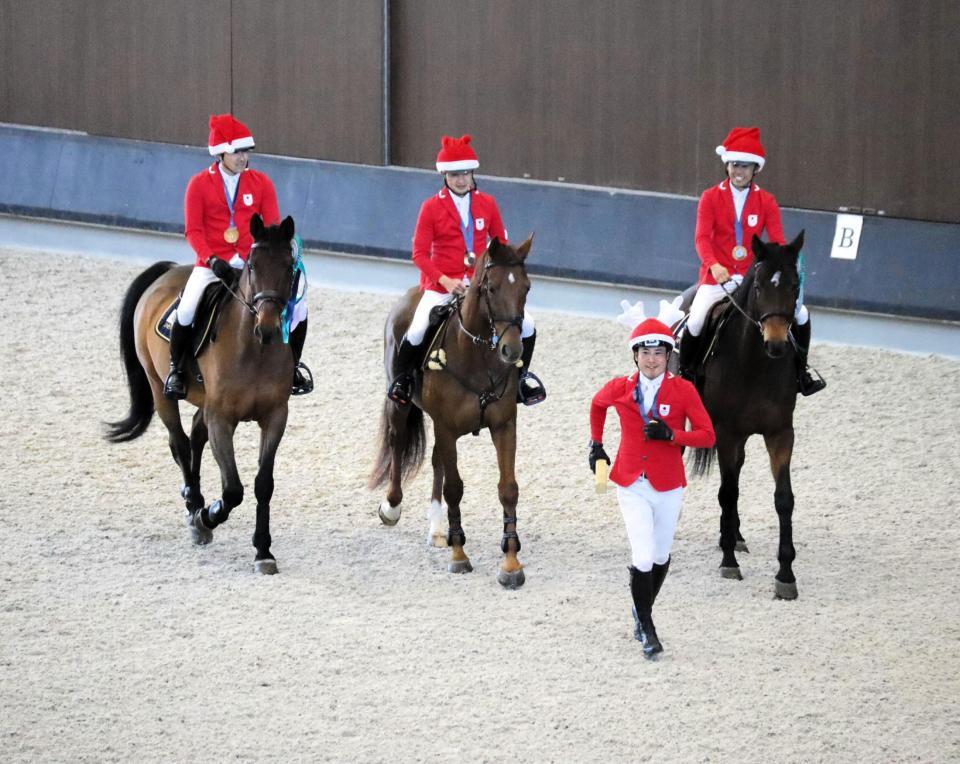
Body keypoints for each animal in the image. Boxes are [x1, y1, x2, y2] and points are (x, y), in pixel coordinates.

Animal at [105, 215, 302, 572]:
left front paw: (263, 550)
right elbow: (233, 489)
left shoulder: (275, 416)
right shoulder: (222, 418)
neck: (254, 350)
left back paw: (194, 501)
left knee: (195, 436)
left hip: (204, 402)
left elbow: (263, 484)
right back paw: (194, 504)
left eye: (288, 266)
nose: (267, 328)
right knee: (180, 443)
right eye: (252, 265)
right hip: (160, 389)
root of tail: (168, 271)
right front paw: (207, 517)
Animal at [368, 236, 532, 588]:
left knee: (436, 462)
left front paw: (511, 563)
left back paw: (436, 529)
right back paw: (392, 506)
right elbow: (455, 488)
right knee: (398, 442)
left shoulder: (504, 425)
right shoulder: (446, 426)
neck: (478, 357)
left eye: (526, 287)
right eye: (492, 288)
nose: (512, 350)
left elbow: (508, 489)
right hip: (402, 404)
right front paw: (459, 555)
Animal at [688, 230, 808, 600]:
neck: (755, 364)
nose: (777, 344)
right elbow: (728, 493)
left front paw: (786, 574)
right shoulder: (726, 433)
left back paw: (736, 535)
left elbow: (784, 499)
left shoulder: (780, 433)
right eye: (758, 286)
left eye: (795, 285)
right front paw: (729, 562)